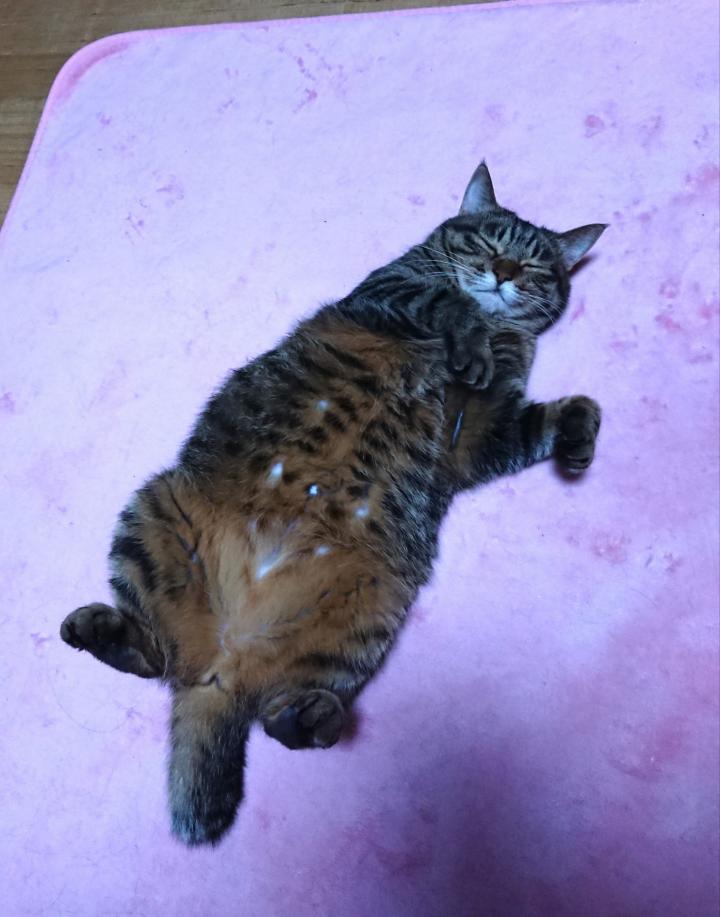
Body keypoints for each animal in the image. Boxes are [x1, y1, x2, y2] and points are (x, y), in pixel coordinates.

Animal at [60, 162, 606, 846]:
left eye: (533, 266)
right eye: (486, 241)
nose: (503, 273)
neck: (499, 327)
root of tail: (224, 658)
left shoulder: (480, 436)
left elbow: (553, 415)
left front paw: (578, 431)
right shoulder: (387, 291)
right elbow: (447, 300)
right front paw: (473, 337)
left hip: (369, 613)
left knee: (265, 708)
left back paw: (311, 718)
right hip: (156, 507)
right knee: (158, 655)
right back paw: (104, 630)